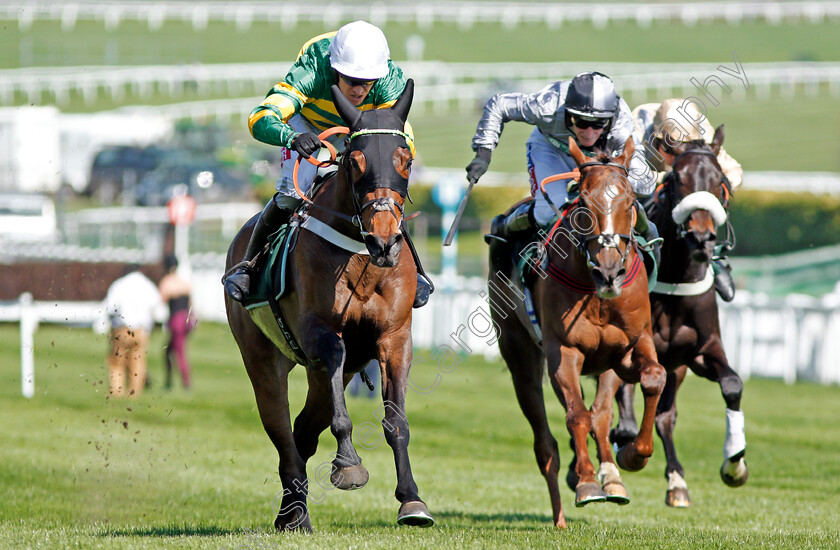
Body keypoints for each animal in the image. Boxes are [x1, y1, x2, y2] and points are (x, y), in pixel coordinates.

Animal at [223, 80, 434, 532]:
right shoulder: (322, 332)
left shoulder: (394, 337)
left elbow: (396, 421)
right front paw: (348, 464)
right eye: (355, 161)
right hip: (262, 359)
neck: (361, 258)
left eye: (405, 160)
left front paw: (412, 501)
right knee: (282, 431)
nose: (385, 241)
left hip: (325, 372)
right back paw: (294, 514)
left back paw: (293, 508)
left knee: (303, 430)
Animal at [488, 138, 668, 532]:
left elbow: (652, 378)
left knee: (601, 413)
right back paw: (560, 517)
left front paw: (633, 455)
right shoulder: (563, 351)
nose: (609, 272)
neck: (595, 291)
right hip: (520, 355)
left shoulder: (631, 346)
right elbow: (576, 416)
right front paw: (585, 482)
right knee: (546, 444)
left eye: (630, 201)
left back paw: (612, 478)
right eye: (583, 203)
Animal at [596, 125, 748, 508]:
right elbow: (619, 413)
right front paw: (623, 447)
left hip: (676, 365)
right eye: (677, 179)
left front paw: (734, 464)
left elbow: (732, 384)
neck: (675, 278)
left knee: (665, 417)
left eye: (720, 180)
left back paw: (677, 482)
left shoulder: (699, 350)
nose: (701, 236)